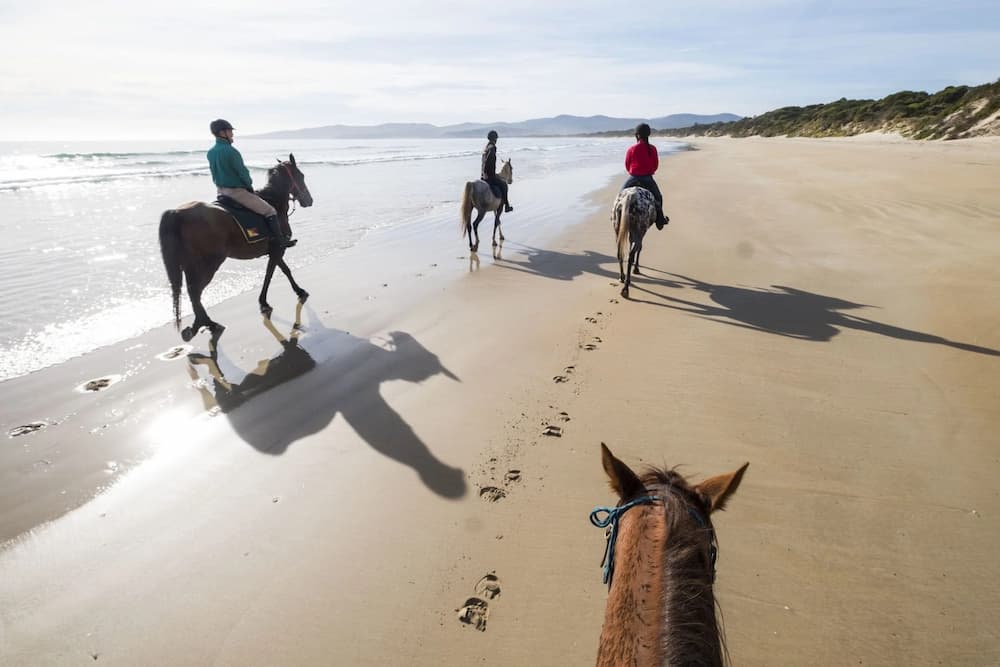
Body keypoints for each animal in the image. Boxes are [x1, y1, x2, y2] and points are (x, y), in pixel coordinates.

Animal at [159, 154, 313, 342]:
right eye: (300, 175)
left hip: (191, 264)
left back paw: (203, 324)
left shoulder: (275, 250)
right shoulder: (278, 249)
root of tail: (178, 212)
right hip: (209, 263)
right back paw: (206, 324)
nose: (309, 200)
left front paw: (297, 291)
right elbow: (271, 274)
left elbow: (284, 270)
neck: (274, 203)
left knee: (191, 291)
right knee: (195, 291)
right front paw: (265, 301)